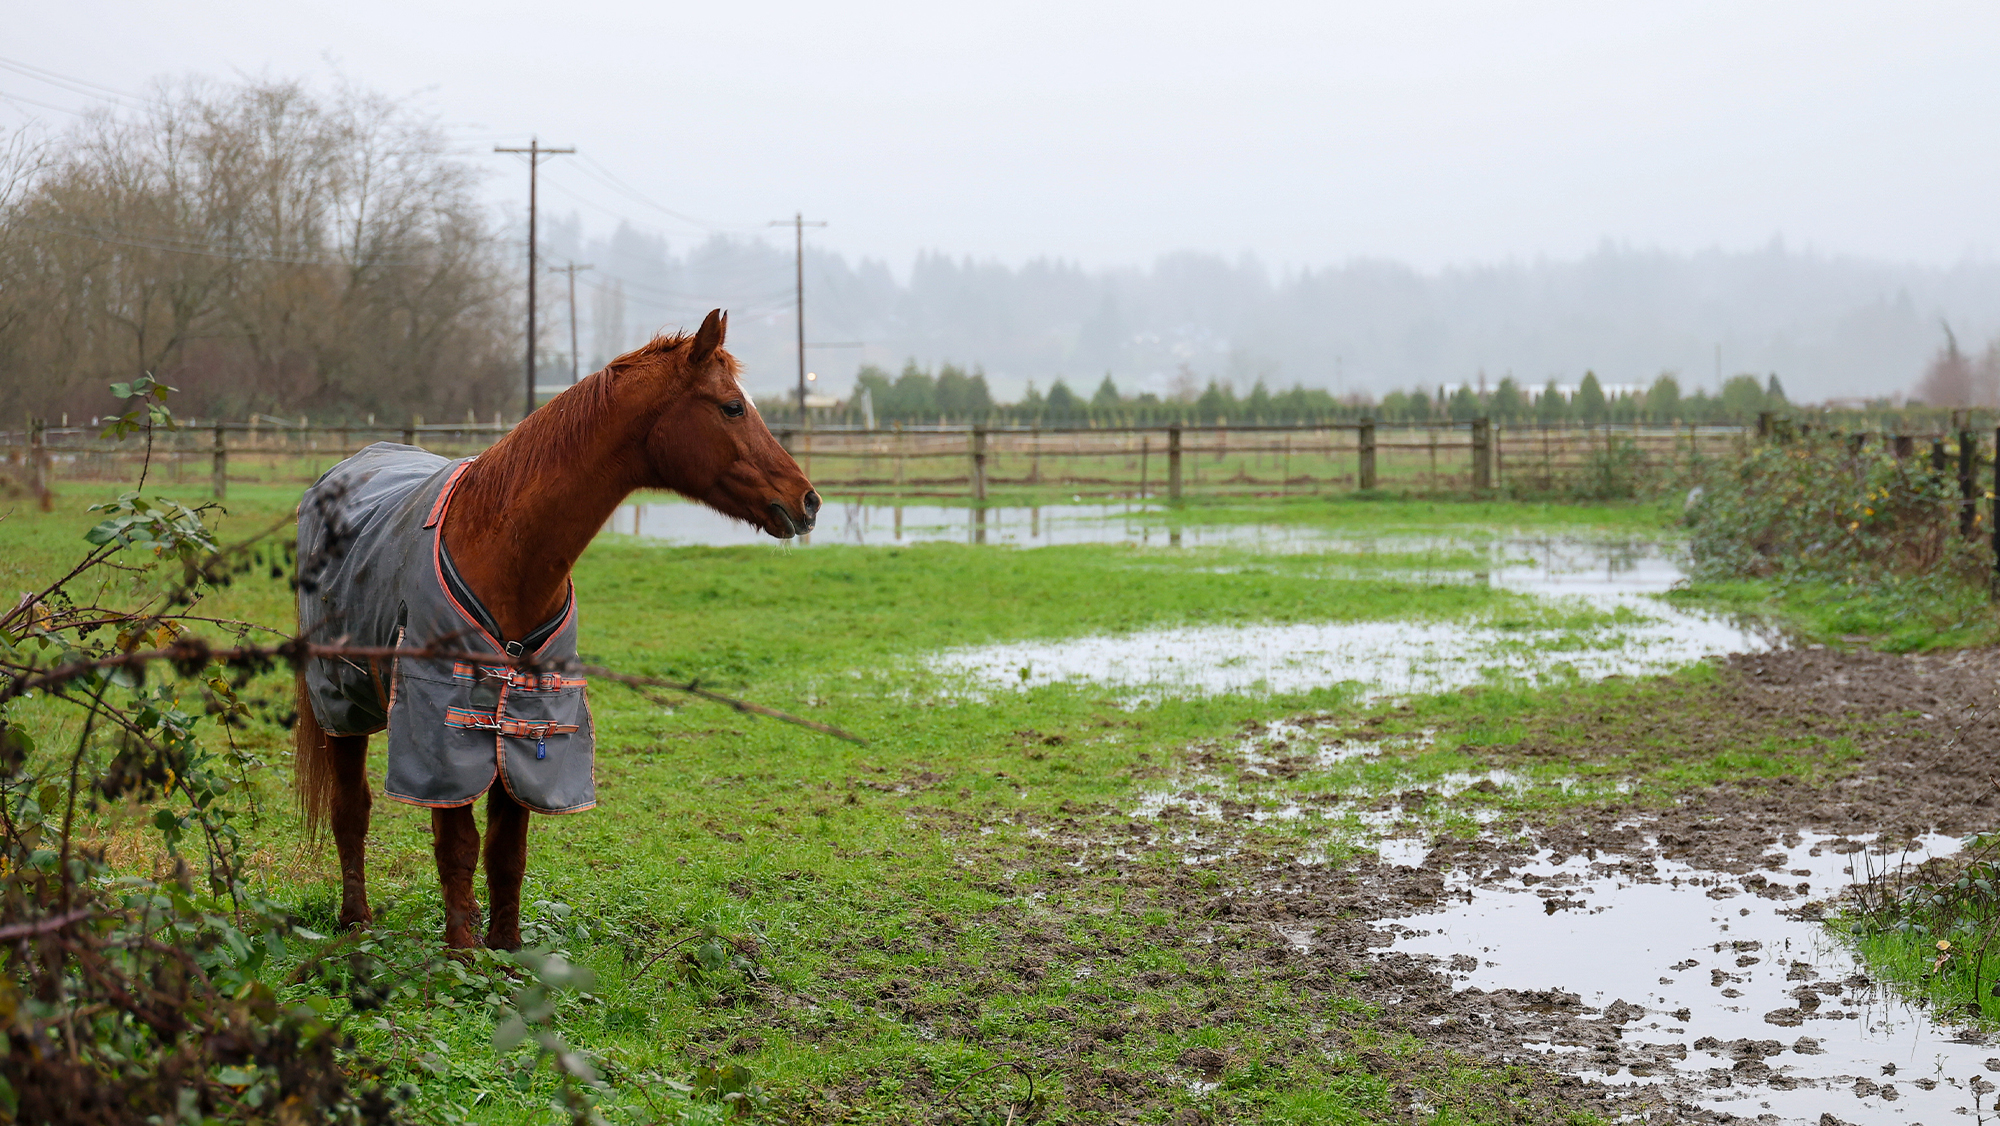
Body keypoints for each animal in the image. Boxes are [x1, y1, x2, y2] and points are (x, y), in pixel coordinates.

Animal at [293, 310, 817, 949]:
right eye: (732, 407)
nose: (808, 501)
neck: (499, 549)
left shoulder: (526, 722)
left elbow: (506, 849)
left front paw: (507, 950)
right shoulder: (440, 727)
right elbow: (457, 846)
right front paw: (463, 955)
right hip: (341, 705)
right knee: (351, 810)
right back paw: (355, 922)